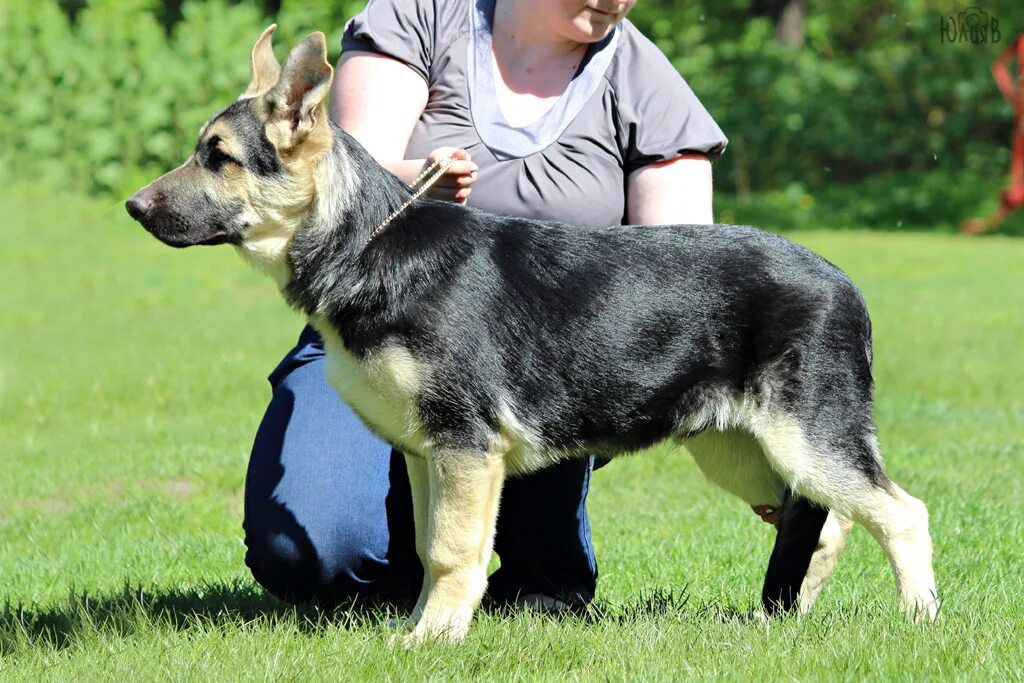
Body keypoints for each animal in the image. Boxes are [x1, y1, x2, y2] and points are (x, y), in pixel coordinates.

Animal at [125, 28, 937, 647]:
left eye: (219, 157)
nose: (132, 208)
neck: (365, 245)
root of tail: (845, 281)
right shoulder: (427, 455)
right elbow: (425, 547)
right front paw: (423, 627)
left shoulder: (466, 447)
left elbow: (452, 551)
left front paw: (432, 639)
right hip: (737, 447)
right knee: (823, 521)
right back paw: (786, 618)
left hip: (805, 439)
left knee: (901, 512)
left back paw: (919, 619)